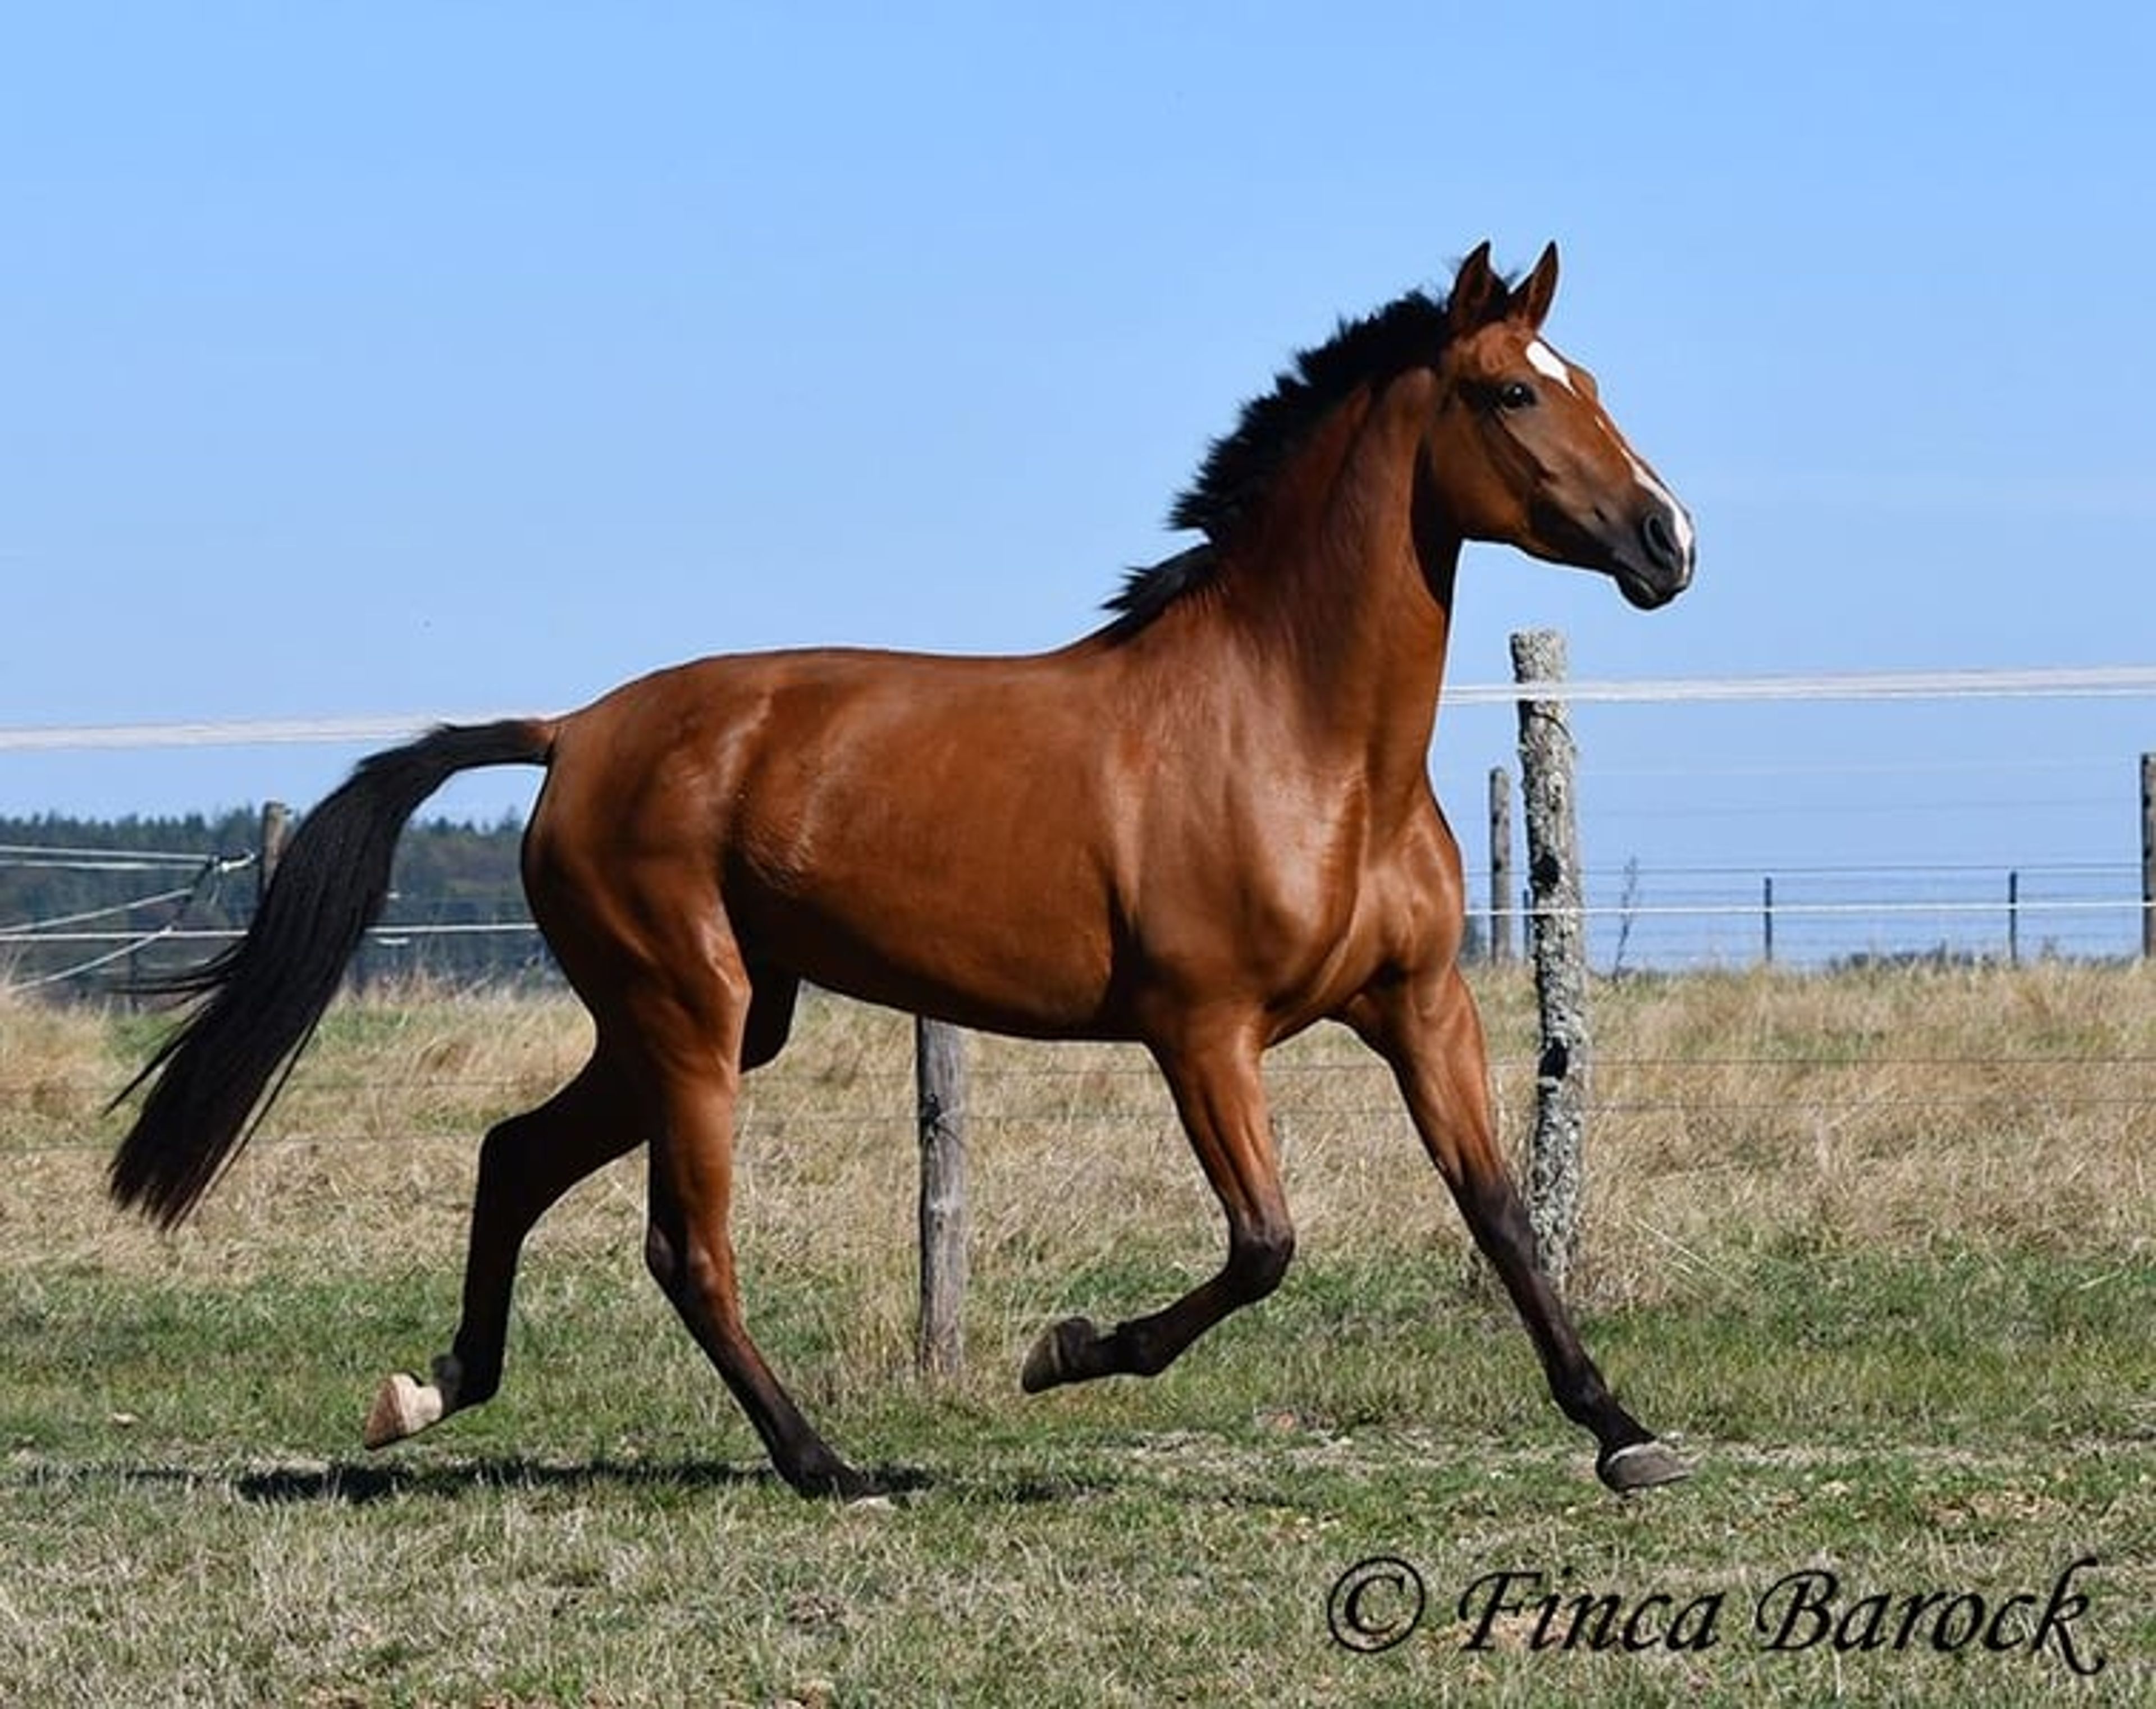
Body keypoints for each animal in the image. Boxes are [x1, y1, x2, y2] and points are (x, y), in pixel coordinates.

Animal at [111, 241, 1696, 1499]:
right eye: (1512, 394)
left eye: (1587, 373)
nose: (1667, 539)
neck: (1301, 743)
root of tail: (574, 729)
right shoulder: (1202, 1032)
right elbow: (1263, 1243)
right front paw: (1064, 1349)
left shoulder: (1417, 1004)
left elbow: (1502, 1213)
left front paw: (1623, 1434)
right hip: (688, 1015)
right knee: (685, 1247)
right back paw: (828, 1465)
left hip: (703, 1020)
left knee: (515, 1153)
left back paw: (427, 1393)